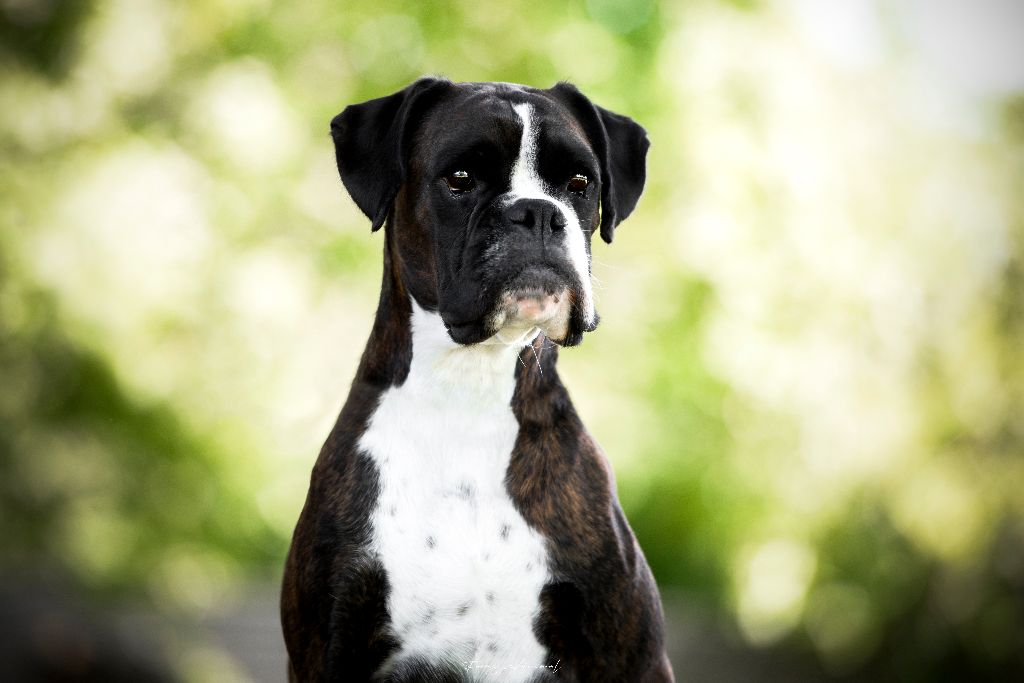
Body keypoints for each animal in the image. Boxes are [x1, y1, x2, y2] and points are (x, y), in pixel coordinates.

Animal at [280, 77, 671, 679]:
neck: (467, 387)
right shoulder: (329, 650)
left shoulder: (632, 658)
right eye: (460, 178)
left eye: (580, 183)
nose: (538, 213)